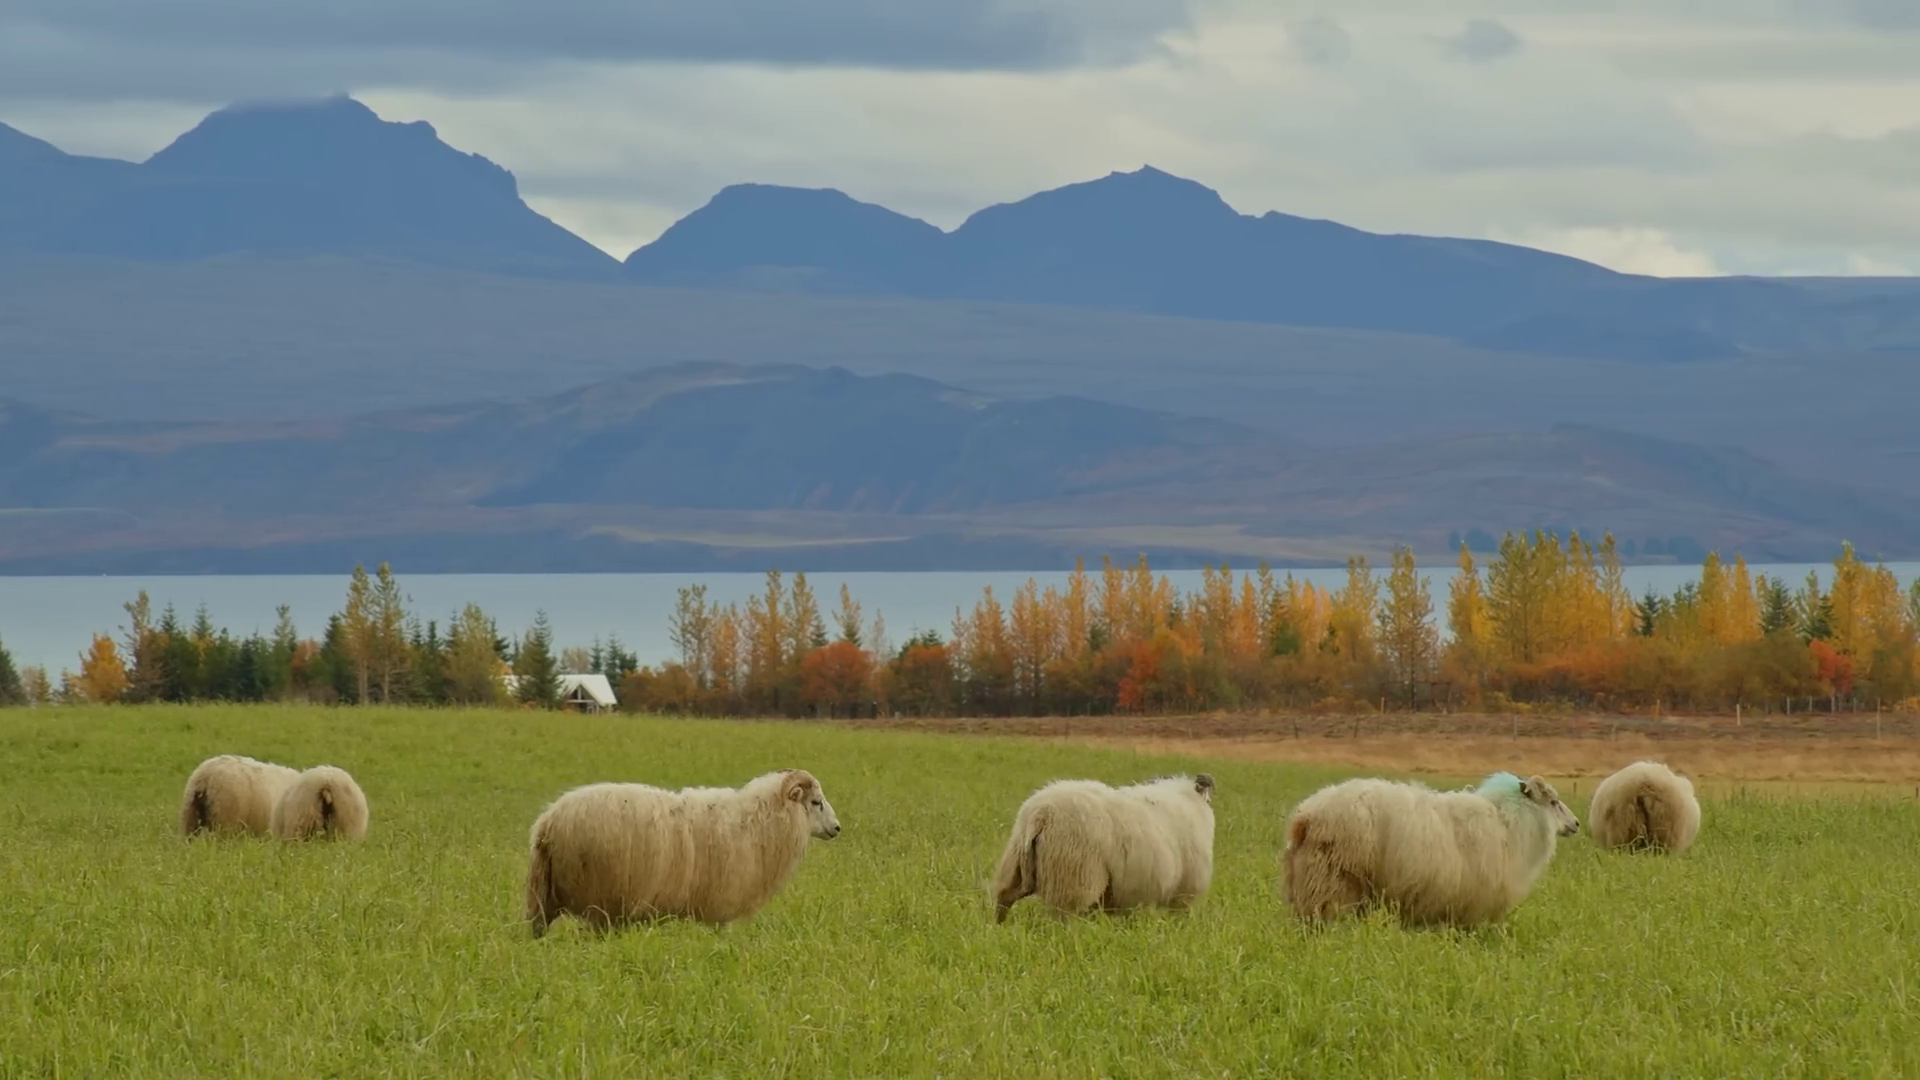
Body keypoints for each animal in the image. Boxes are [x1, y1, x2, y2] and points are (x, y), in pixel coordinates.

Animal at [525, 768, 840, 936]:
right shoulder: (721, 903)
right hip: (599, 899)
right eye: (816, 802)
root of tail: (548, 821)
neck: (758, 821)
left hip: (545, 895)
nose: (837, 828)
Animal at [991, 773, 1215, 923]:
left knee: (1004, 899)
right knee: (1063, 919)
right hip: (1073, 880)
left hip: (1015, 867)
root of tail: (1042, 814)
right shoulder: (1183, 894)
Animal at [1282, 771, 1580, 928]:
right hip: (1334, 885)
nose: (1576, 823)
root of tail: (1305, 817)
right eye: (1554, 802)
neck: (1509, 823)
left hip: (1308, 884)